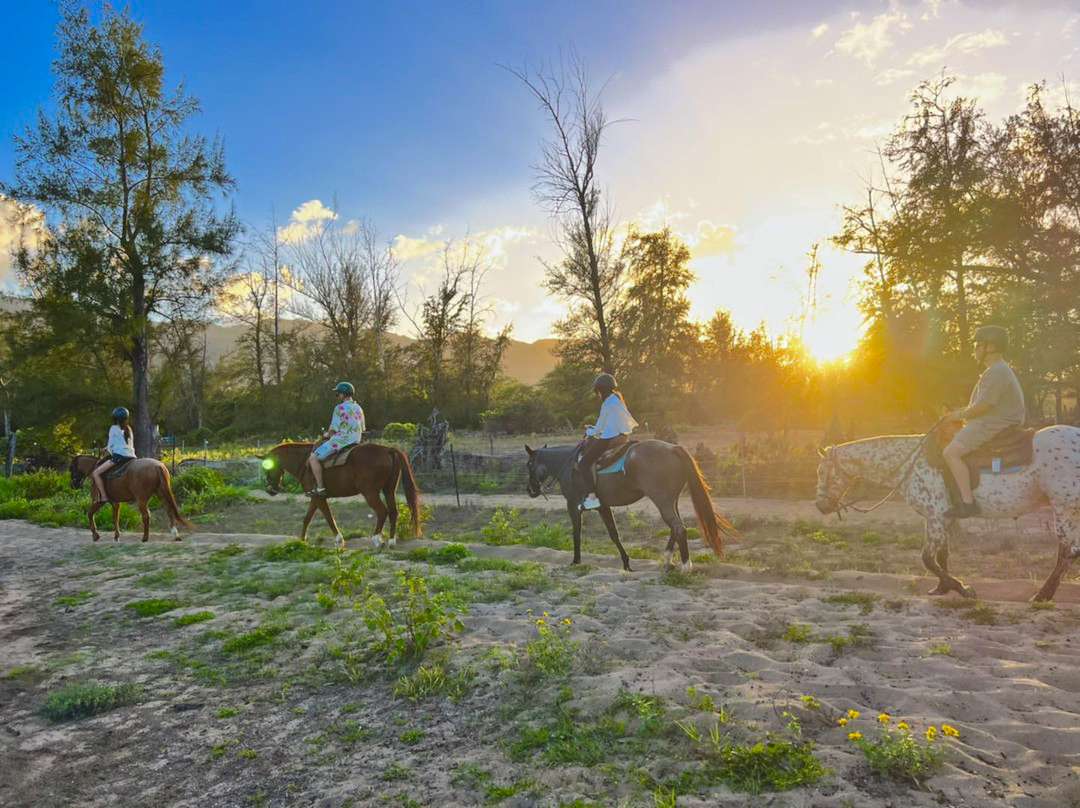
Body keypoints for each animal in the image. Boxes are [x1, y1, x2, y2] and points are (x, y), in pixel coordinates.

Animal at [261, 442, 421, 548]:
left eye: (267, 466)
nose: (270, 490)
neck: (305, 461)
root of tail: (388, 450)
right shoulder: (315, 497)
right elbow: (307, 518)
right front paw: (301, 540)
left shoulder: (319, 497)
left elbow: (328, 517)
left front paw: (339, 539)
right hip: (388, 490)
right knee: (394, 512)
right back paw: (392, 541)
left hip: (370, 493)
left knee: (382, 511)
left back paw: (377, 539)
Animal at [520, 442, 734, 574]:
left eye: (529, 464)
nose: (529, 489)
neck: (568, 465)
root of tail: (674, 448)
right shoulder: (603, 507)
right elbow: (614, 534)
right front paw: (626, 564)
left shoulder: (572, 504)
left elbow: (577, 533)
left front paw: (576, 561)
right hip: (670, 501)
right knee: (676, 527)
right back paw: (667, 560)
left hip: (662, 500)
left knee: (679, 527)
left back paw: (685, 566)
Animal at [812, 425, 1080, 604]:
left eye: (822, 471)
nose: (821, 506)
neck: (911, 464)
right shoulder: (941, 518)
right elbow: (942, 556)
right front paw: (942, 589)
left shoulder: (934, 517)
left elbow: (927, 559)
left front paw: (963, 589)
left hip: (1063, 507)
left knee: (1066, 552)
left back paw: (1042, 595)